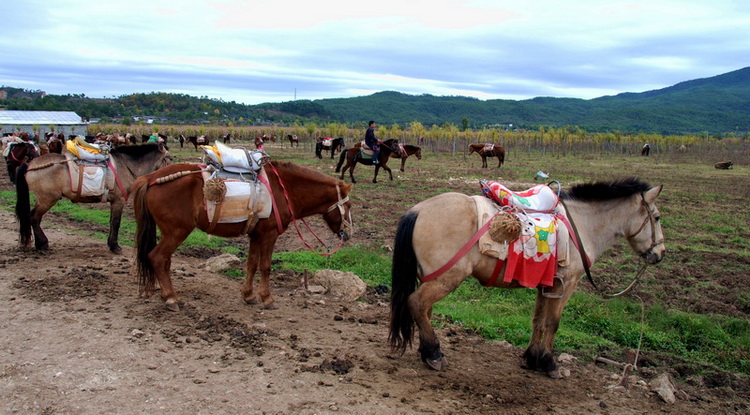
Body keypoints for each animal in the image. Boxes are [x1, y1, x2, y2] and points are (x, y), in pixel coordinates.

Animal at [15, 143, 171, 254]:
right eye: (169, 158)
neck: (125, 166)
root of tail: (30, 165)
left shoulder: (113, 202)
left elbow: (111, 222)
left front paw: (110, 244)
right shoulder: (118, 201)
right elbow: (116, 223)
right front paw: (115, 246)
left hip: (42, 200)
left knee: (35, 218)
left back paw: (39, 244)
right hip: (47, 200)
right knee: (34, 217)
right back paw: (43, 244)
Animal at [132, 161, 356, 310]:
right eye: (349, 206)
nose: (349, 234)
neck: (282, 190)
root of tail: (150, 179)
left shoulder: (255, 235)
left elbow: (252, 264)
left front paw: (248, 295)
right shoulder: (269, 235)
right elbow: (265, 267)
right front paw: (267, 299)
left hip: (170, 232)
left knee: (164, 261)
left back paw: (167, 295)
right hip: (177, 231)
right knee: (157, 258)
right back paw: (171, 298)